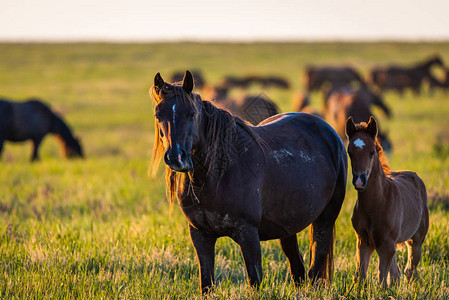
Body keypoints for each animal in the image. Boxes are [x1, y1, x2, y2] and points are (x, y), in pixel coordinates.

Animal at [150, 71, 346, 292]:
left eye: (192, 114)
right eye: (158, 115)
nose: (176, 157)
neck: (216, 176)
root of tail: (327, 130)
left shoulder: (248, 235)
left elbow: (254, 280)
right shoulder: (200, 235)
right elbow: (206, 283)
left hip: (326, 218)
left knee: (316, 267)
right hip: (288, 228)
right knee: (298, 269)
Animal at [344, 116, 428, 288]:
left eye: (372, 152)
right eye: (349, 152)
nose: (360, 181)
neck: (378, 203)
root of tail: (413, 174)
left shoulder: (386, 245)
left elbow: (381, 278)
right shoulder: (363, 242)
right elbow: (360, 276)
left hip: (415, 240)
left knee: (410, 270)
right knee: (397, 274)